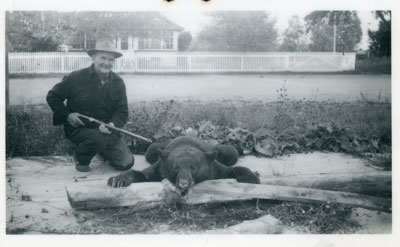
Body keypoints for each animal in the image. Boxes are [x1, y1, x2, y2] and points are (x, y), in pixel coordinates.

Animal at [108, 135, 260, 191]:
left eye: (193, 168)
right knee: (151, 149)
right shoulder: (159, 168)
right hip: (156, 150)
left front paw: (252, 177)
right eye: (175, 168)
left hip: (216, 150)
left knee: (231, 152)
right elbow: (142, 174)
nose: (183, 183)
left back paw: (240, 148)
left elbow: (231, 169)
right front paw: (118, 180)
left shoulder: (214, 169)